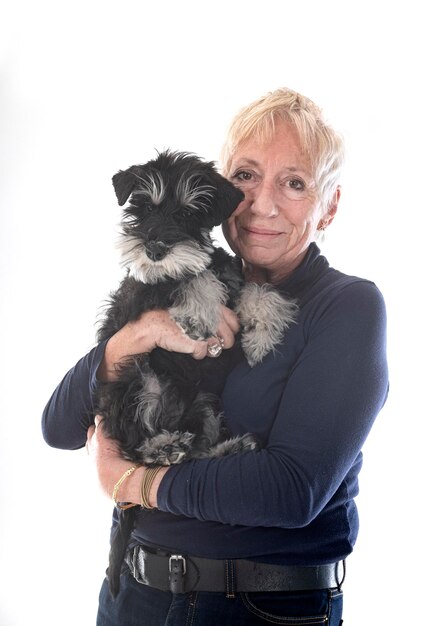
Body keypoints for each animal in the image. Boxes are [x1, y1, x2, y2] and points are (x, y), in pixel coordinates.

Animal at [94, 150, 296, 596]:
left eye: (187, 213)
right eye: (143, 208)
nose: (154, 249)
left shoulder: (232, 277)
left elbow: (252, 287)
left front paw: (262, 334)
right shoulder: (142, 295)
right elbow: (192, 278)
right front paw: (199, 315)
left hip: (202, 403)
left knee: (199, 451)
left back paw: (227, 447)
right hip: (139, 383)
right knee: (135, 444)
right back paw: (162, 447)